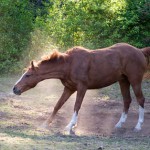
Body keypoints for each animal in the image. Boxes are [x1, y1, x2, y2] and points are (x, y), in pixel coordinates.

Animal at [13, 43, 150, 134]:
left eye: (28, 75)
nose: (15, 89)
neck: (69, 64)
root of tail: (140, 51)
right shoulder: (69, 89)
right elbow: (58, 105)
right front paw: (45, 124)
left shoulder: (82, 88)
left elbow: (76, 106)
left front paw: (70, 126)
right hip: (123, 81)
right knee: (127, 100)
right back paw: (119, 124)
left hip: (135, 81)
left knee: (140, 99)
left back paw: (138, 126)